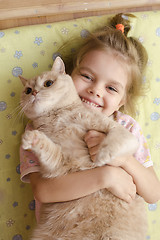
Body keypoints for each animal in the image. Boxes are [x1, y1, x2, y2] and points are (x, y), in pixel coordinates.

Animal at [20, 56, 148, 240]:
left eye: (48, 83)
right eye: (28, 90)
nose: (35, 93)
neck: (57, 118)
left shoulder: (117, 131)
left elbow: (117, 138)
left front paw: (102, 155)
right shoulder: (58, 165)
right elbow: (47, 149)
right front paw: (32, 138)